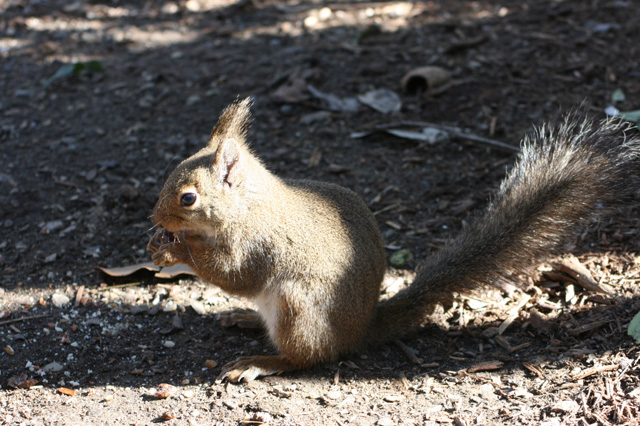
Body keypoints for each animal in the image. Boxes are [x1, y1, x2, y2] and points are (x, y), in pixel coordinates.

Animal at [148, 98, 640, 382]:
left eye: (188, 197)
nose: (155, 217)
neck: (248, 205)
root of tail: (360, 329)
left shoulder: (257, 244)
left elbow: (235, 275)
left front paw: (176, 249)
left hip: (298, 306)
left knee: (308, 357)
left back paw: (261, 362)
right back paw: (246, 320)